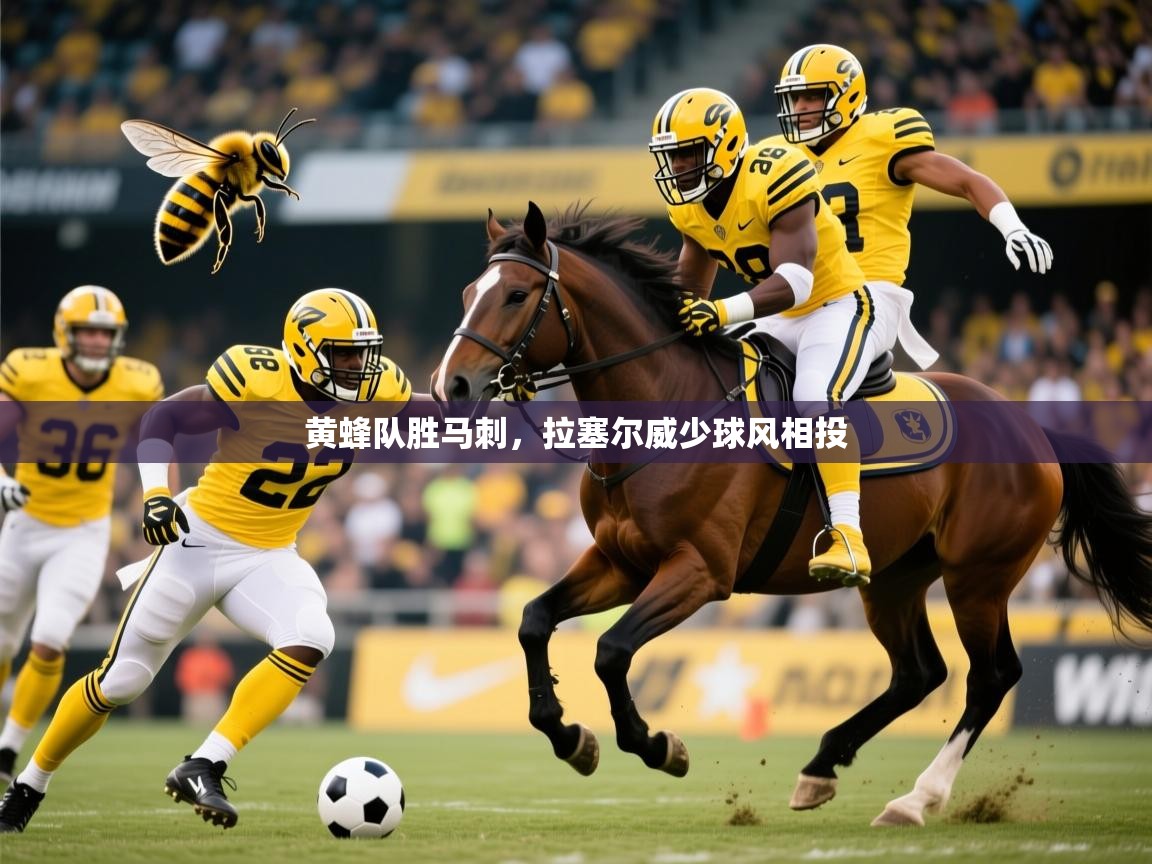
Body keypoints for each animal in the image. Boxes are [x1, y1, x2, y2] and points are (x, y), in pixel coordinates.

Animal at [431, 201, 1152, 827]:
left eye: (516, 295)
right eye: (466, 293)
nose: (451, 386)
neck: (666, 404)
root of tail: (1031, 426)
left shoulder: (699, 572)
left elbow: (611, 652)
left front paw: (658, 745)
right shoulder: (620, 562)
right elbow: (533, 620)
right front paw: (568, 735)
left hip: (979, 578)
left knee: (990, 676)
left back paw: (916, 799)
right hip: (894, 579)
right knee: (919, 672)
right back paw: (822, 765)